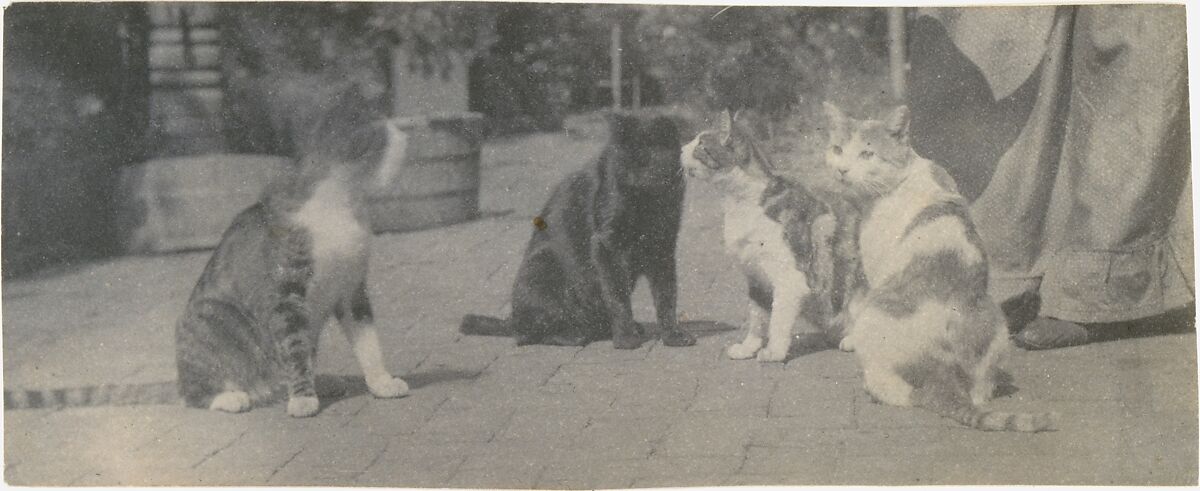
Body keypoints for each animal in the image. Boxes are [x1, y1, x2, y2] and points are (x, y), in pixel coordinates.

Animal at [3, 88, 412, 417]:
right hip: (213, 318)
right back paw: (237, 396)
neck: (343, 204)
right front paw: (302, 399)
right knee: (195, 395)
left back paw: (318, 381)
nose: (407, 135)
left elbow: (368, 343)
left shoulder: (351, 291)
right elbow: (293, 347)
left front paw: (381, 381)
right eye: (385, 134)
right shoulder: (285, 295)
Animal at [463, 111, 700, 348]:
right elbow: (617, 297)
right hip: (542, 264)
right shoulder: (607, 246)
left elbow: (666, 296)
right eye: (626, 159)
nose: (634, 180)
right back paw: (575, 334)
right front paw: (625, 338)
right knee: (527, 334)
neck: (646, 201)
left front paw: (672, 335)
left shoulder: (662, 245)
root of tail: (511, 319)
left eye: (649, 157)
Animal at [820, 101, 1056, 429]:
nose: (842, 170)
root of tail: (942, 365)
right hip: (997, 324)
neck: (903, 176)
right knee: (978, 393)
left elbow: (859, 302)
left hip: (877, 318)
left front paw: (849, 339)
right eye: (838, 149)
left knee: (900, 392)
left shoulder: (875, 269)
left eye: (867, 154)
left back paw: (872, 386)